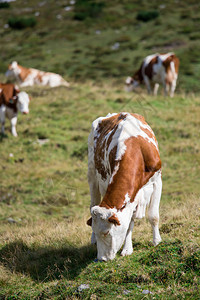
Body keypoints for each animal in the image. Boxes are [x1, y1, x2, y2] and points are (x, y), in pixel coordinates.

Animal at [86, 112, 162, 260]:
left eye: (106, 232)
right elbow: (129, 223)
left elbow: (153, 216)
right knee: (92, 204)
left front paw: (157, 241)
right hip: (92, 175)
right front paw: (127, 249)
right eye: (97, 232)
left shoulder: (157, 181)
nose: (102, 259)